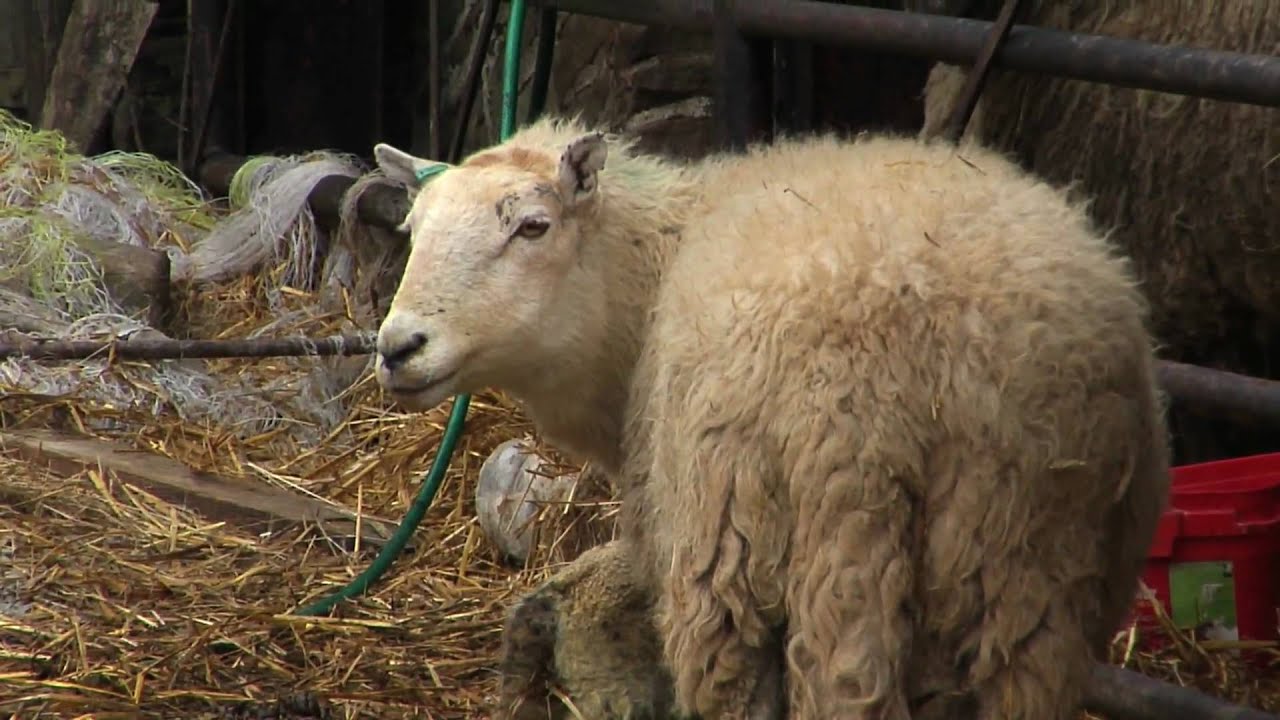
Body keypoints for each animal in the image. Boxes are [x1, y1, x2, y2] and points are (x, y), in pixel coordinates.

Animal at [370, 117, 1172, 719]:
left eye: (533, 227)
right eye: (412, 228)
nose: (397, 347)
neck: (645, 284)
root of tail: (935, 357)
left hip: (809, 543)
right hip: (1024, 554)